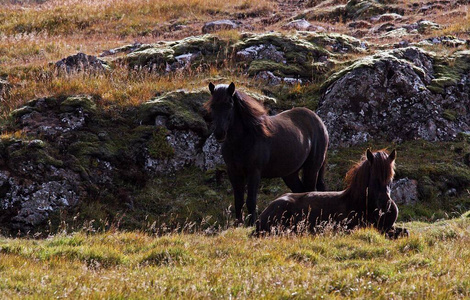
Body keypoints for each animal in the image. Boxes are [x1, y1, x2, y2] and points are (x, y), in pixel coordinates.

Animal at [204, 82, 328, 225]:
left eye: (229, 104)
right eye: (213, 105)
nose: (219, 133)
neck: (243, 140)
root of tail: (319, 121)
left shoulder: (254, 172)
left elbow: (251, 201)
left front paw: (251, 224)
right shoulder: (234, 172)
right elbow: (238, 201)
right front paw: (238, 224)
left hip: (312, 169)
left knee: (311, 192)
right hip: (290, 174)